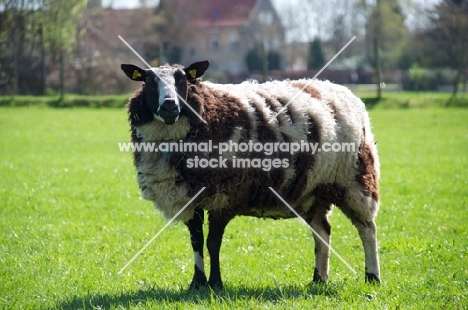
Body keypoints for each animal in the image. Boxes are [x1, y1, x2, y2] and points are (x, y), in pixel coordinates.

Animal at [119, 60, 380, 288]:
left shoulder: (222, 197)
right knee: (322, 232)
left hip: (355, 179)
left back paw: (372, 277)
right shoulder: (189, 197)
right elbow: (196, 241)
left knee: (367, 229)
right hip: (313, 189)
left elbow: (213, 243)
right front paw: (197, 283)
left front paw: (215, 283)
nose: (169, 106)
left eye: (183, 79)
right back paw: (319, 279)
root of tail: (341, 90)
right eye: (148, 81)